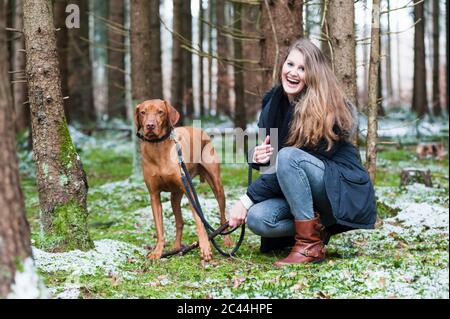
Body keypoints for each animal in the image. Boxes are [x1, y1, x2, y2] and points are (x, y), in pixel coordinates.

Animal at [134, 99, 230, 262]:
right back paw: (176, 247)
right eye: (143, 112)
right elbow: (159, 228)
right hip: (175, 195)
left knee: (223, 216)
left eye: (160, 112)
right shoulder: (154, 195)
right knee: (179, 222)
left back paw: (228, 241)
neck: (158, 146)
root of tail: (201, 130)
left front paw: (205, 247)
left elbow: (199, 221)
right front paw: (158, 251)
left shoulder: (189, 190)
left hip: (216, 185)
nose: (150, 125)